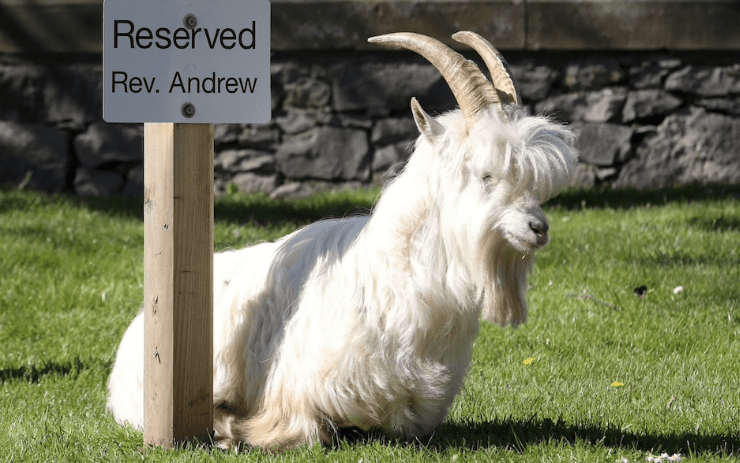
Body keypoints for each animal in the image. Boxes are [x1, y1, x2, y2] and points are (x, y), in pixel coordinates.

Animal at [107, 31, 578, 451]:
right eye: (485, 174)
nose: (538, 228)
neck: (386, 279)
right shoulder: (294, 396)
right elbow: (307, 432)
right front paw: (233, 432)